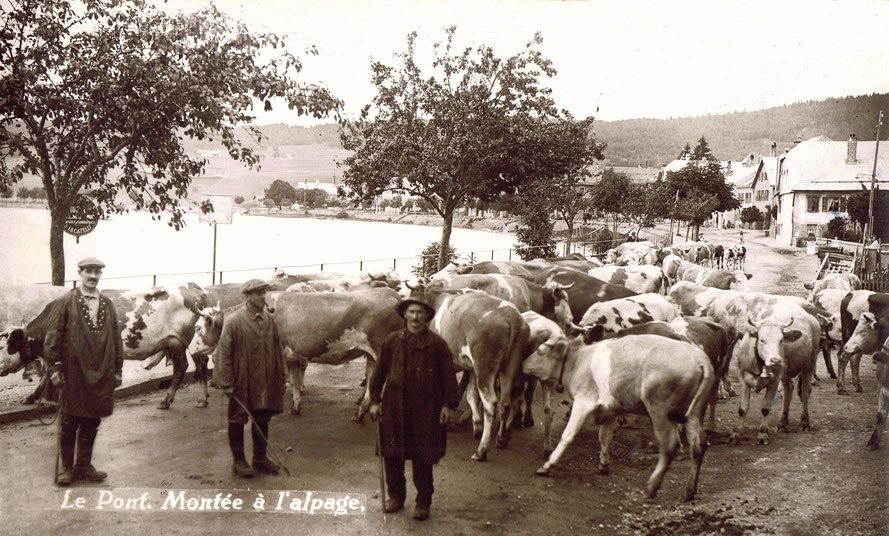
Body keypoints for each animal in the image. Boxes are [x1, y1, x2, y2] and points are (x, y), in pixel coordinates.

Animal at [528, 336, 716, 502]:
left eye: (541, 351)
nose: (523, 363)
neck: (578, 361)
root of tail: (700, 359)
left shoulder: (583, 402)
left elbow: (567, 435)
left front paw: (548, 465)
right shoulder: (610, 410)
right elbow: (604, 436)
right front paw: (603, 465)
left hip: (660, 411)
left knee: (670, 446)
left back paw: (652, 487)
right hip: (694, 414)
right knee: (698, 447)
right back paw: (688, 492)